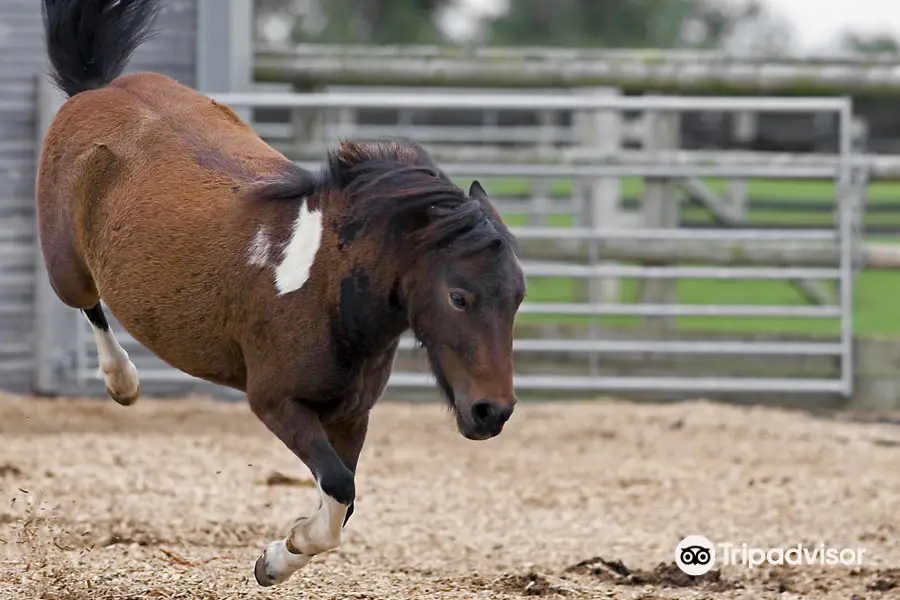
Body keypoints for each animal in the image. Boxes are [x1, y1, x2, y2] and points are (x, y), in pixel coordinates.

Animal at [37, 0, 528, 584]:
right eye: (459, 297)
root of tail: (98, 88)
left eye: (518, 297)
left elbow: (345, 496)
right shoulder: (275, 402)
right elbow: (339, 485)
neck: (327, 288)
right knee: (87, 304)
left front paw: (278, 557)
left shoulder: (350, 415)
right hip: (66, 267)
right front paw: (282, 552)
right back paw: (122, 382)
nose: (492, 412)